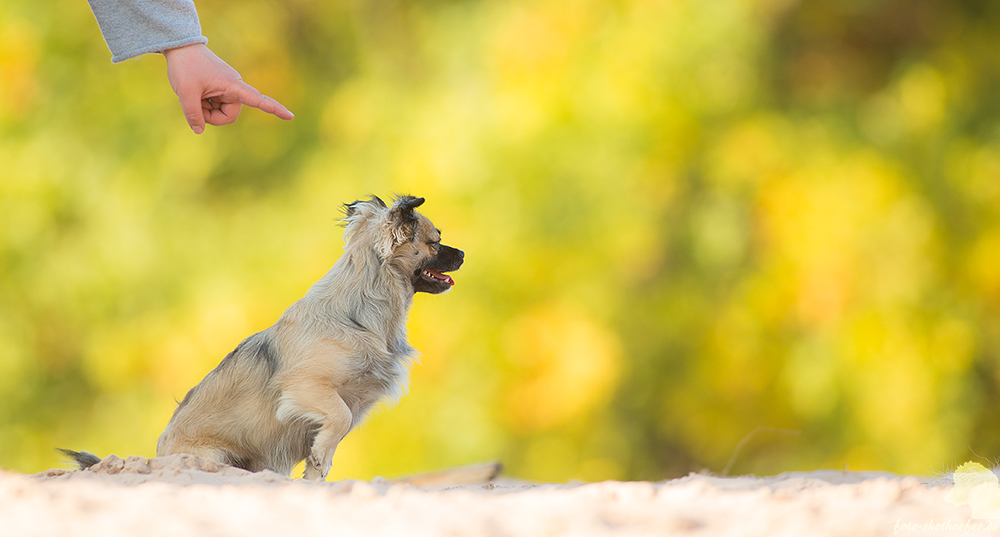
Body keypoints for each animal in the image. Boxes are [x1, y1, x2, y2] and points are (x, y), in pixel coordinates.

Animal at [64, 195, 462, 480]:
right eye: (435, 241)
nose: (461, 253)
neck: (360, 314)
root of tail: (157, 455)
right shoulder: (306, 389)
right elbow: (339, 418)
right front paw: (320, 456)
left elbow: (328, 447)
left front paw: (317, 472)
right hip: (217, 457)